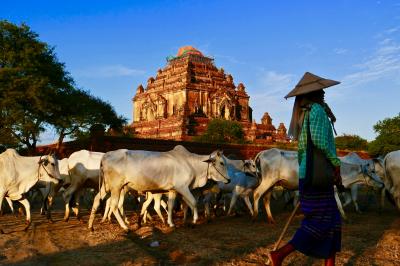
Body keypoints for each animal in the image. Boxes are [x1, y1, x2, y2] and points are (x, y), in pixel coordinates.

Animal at [88, 145, 230, 231]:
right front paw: (194, 221)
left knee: (96, 199)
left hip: (107, 186)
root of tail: (106, 155)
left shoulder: (173, 190)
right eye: (221, 163)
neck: (191, 164)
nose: (229, 180)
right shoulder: (183, 187)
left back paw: (91, 226)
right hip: (116, 187)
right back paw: (125, 227)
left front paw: (171, 223)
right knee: (114, 205)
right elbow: (193, 203)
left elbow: (171, 206)